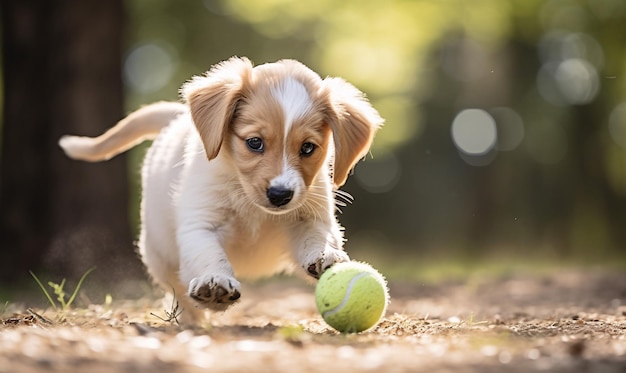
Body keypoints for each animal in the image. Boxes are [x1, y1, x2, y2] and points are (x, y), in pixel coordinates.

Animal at [59, 56, 380, 322]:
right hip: (159, 253)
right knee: (176, 288)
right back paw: (191, 316)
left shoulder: (310, 215)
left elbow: (317, 237)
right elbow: (209, 255)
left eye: (308, 148)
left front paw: (325, 255)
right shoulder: (200, 224)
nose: (280, 195)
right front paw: (213, 283)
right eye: (254, 142)